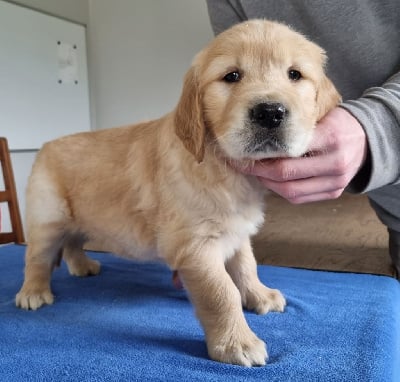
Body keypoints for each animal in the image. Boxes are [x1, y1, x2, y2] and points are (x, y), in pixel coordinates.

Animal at [15, 19, 340, 366]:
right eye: (231, 76)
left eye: (295, 74)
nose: (270, 112)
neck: (224, 166)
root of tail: (46, 144)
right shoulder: (194, 246)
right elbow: (222, 292)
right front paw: (236, 343)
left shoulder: (236, 231)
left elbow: (246, 265)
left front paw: (259, 294)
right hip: (47, 217)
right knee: (37, 256)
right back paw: (33, 292)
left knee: (73, 242)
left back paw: (82, 266)